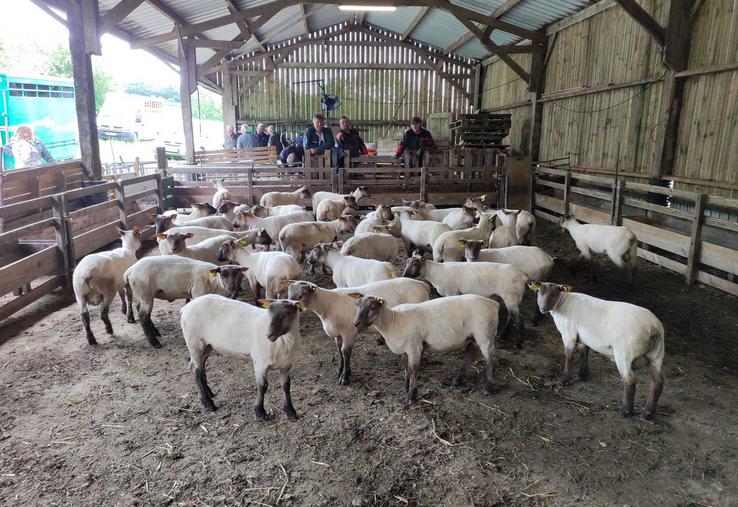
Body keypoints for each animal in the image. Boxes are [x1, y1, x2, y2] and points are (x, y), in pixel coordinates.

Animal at [284, 278, 428, 384]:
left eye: (302, 294)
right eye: (288, 293)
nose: (288, 308)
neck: (328, 305)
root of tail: (422, 284)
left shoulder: (349, 332)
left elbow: (345, 352)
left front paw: (345, 377)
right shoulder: (338, 334)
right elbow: (339, 350)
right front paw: (340, 369)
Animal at [352, 296, 500, 402]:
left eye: (372, 307)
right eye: (357, 306)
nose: (355, 324)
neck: (393, 321)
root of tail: (494, 304)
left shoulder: (415, 348)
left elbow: (413, 370)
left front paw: (411, 396)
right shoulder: (405, 350)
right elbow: (406, 369)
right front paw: (405, 387)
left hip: (485, 335)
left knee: (491, 361)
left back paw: (488, 389)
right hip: (473, 337)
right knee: (469, 356)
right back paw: (457, 380)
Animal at [528, 282, 664, 420]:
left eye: (555, 293)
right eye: (539, 292)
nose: (543, 308)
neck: (562, 304)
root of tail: (653, 328)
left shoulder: (569, 334)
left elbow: (569, 355)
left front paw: (564, 379)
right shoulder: (583, 337)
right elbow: (583, 351)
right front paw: (583, 375)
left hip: (625, 354)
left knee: (629, 381)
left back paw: (626, 411)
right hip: (656, 354)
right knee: (657, 382)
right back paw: (647, 413)